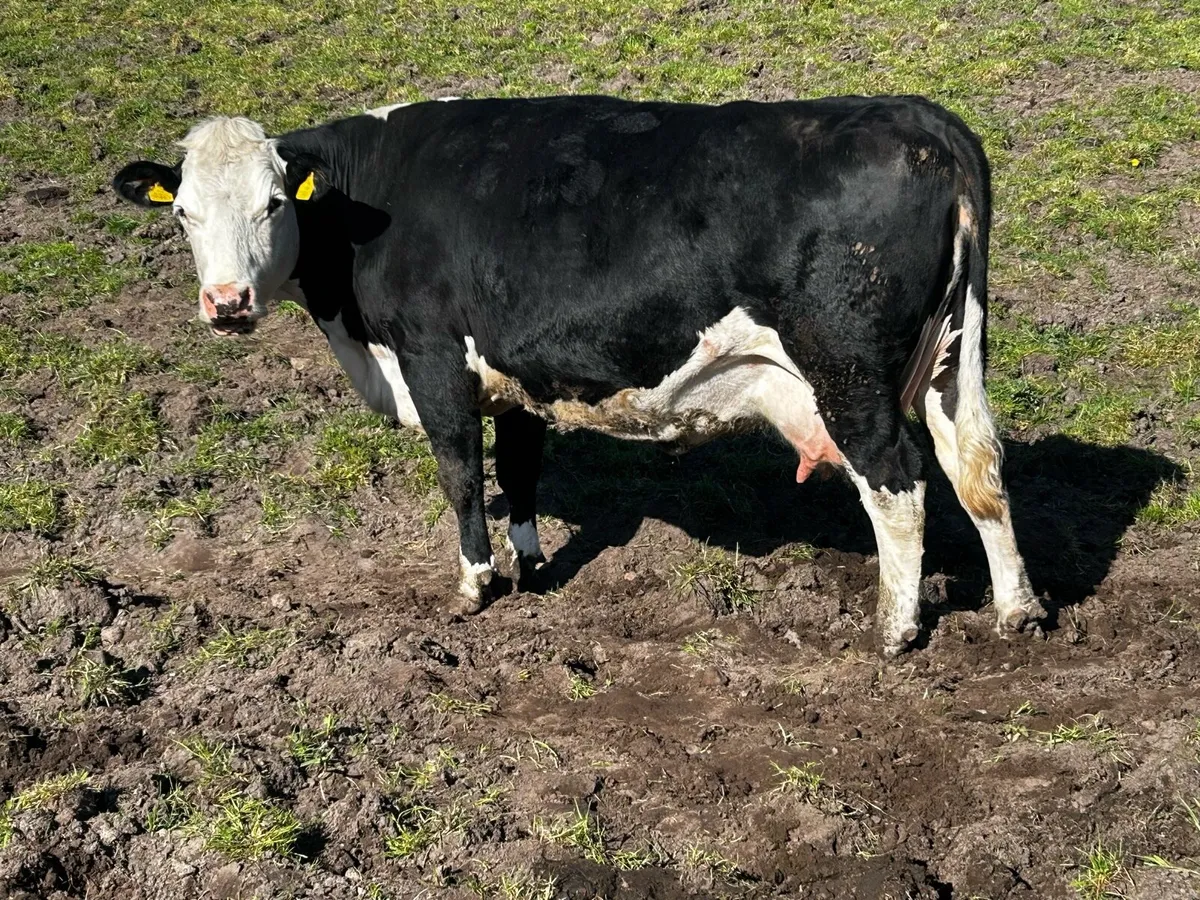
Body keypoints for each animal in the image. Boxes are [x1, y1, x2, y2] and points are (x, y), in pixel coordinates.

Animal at [112, 94, 1046, 655]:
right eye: (184, 212)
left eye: (273, 204)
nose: (226, 302)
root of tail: (920, 120)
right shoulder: (517, 371)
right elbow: (520, 470)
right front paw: (530, 567)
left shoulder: (432, 359)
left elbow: (461, 474)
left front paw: (474, 584)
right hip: (953, 359)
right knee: (979, 468)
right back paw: (1017, 610)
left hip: (847, 373)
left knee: (899, 483)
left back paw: (893, 627)